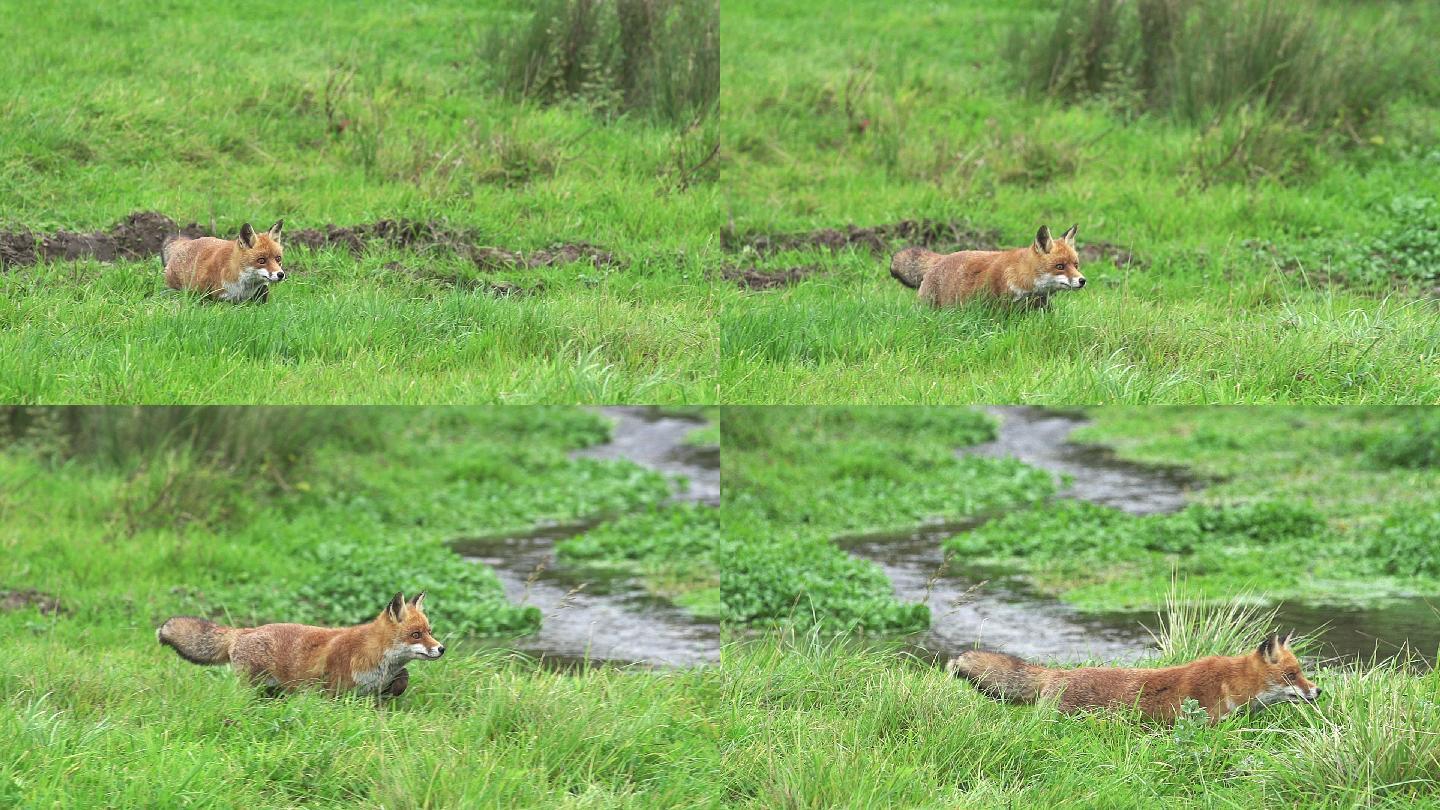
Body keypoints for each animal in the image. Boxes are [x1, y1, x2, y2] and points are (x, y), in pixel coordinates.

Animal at [156, 585, 437, 694]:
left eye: (430, 631)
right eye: (416, 634)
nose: (441, 648)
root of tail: (244, 631)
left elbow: (402, 679)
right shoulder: (332, 689)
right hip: (252, 686)